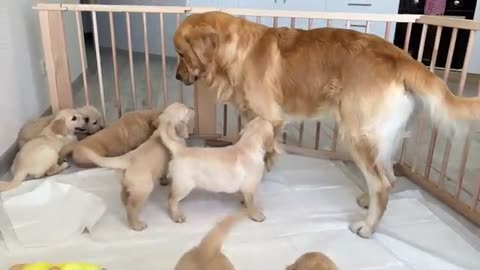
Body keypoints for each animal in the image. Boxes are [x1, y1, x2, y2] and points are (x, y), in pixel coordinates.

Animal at [81, 102, 194, 231]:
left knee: (123, 195)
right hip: (144, 188)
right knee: (132, 208)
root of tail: (126, 160)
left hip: (126, 183)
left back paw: (126, 203)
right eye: (186, 109)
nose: (192, 107)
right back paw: (137, 225)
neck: (163, 128)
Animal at [174, 11, 480, 237]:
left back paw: (367, 226)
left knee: (382, 184)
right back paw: (367, 201)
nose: (177, 76)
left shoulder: (269, 118)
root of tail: (402, 58)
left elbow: (265, 156)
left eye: (180, 53)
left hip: (357, 134)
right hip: (382, 137)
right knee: (389, 177)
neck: (238, 51)